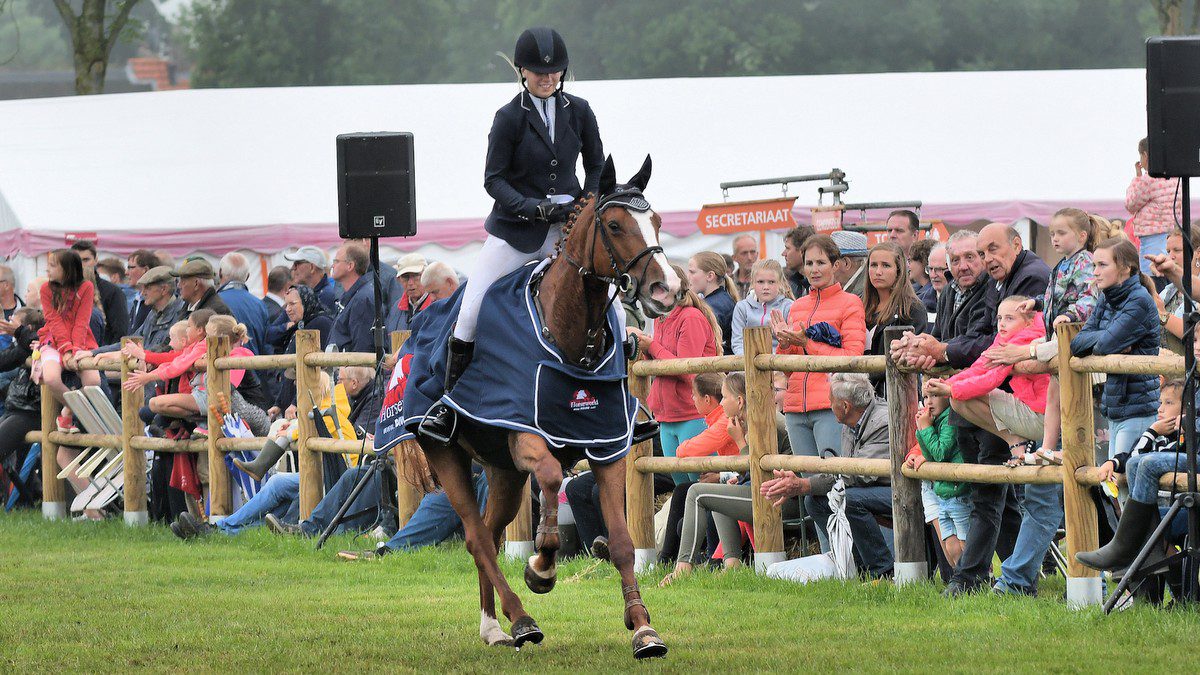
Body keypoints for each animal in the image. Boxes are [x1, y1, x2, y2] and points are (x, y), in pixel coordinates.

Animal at [408, 154, 681, 653]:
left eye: (656, 221)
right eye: (615, 224)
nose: (666, 290)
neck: (572, 339)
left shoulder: (607, 446)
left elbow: (621, 541)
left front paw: (643, 627)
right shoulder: (527, 439)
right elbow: (553, 477)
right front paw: (541, 568)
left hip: (503, 471)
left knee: (490, 533)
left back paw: (493, 626)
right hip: (444, 452)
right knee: (477, 537)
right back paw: (520, 619)